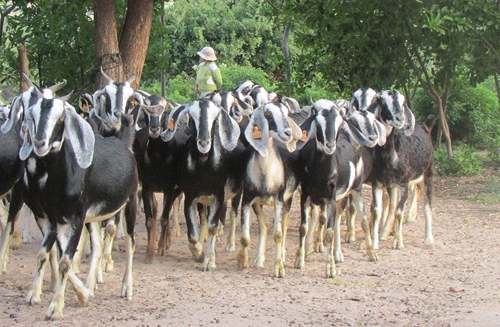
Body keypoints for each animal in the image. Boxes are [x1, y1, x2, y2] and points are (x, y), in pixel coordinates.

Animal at [161, 98, 243, 272]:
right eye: (192, 118)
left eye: (215, 119)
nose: (204, 142)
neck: (205, 167)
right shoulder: (191, 196)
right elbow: (192, 234)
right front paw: (198, 252)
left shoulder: (218, 196)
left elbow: (213, 225)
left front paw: (209, 262)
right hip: (203, 200)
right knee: (204, 218)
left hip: (236, 192)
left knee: (232, 214)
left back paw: (229, 244)